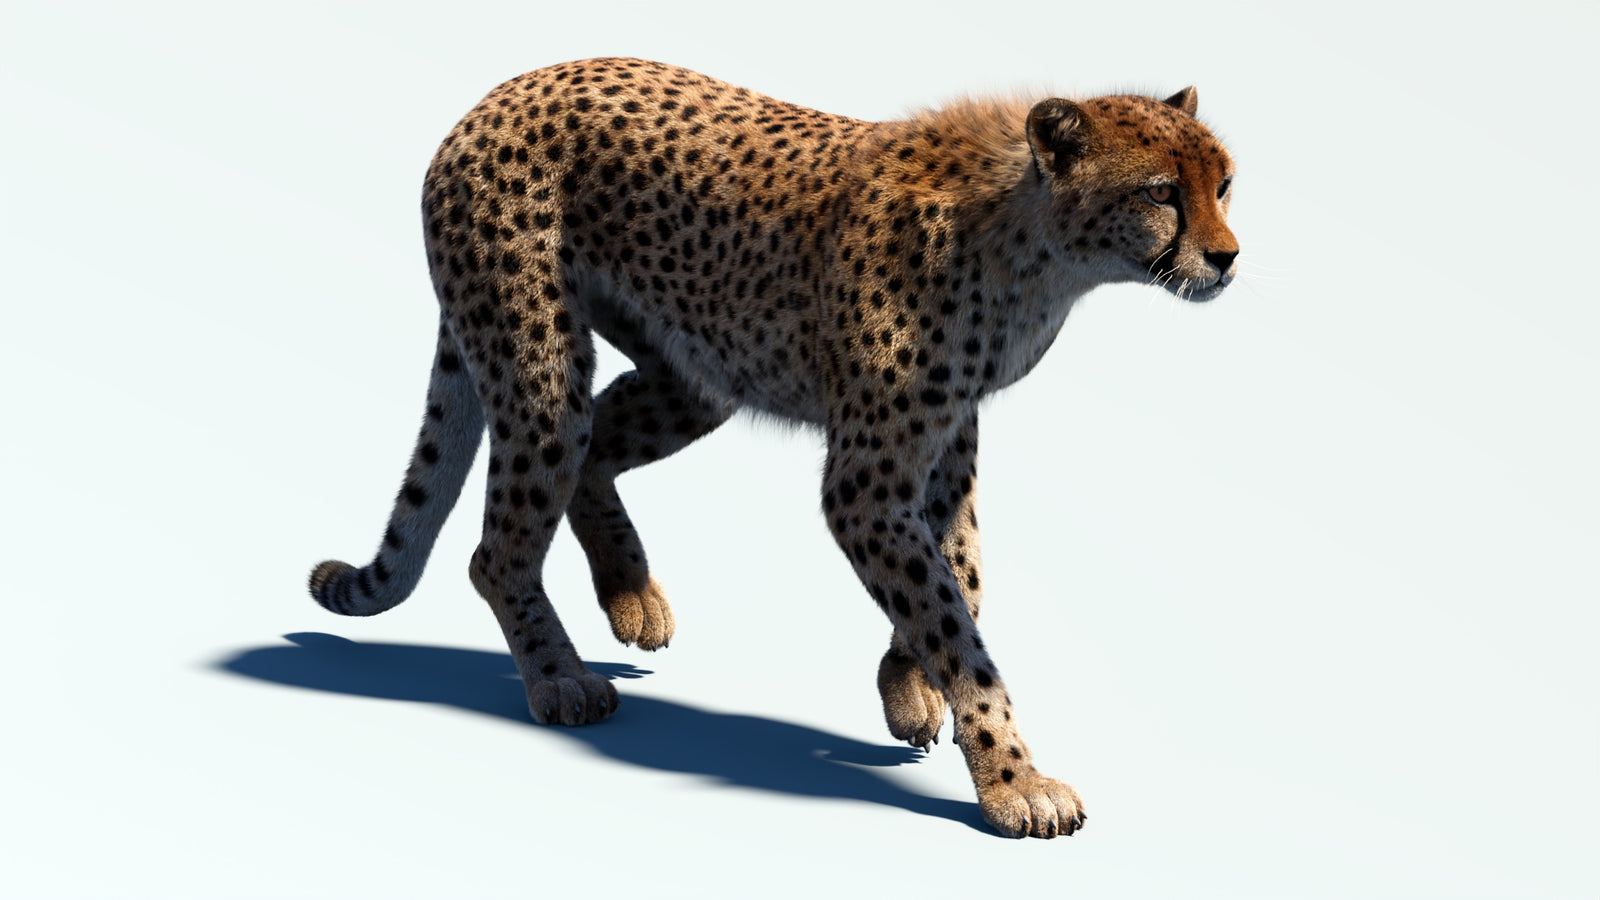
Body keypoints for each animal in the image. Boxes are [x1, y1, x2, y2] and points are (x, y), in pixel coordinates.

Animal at [308, 57, 1239, 839]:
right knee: (500, 546)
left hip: (700, 371)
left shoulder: (945, 442)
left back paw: (630, 593)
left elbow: (960, 575)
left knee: (595, 452)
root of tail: (494, 96)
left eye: (1226, 184)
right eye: (1162, 191)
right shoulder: (867, 481)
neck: (1036, 245)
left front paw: (907, 688)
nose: (1227, 257)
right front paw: (1013, 780)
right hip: (540, 365)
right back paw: (560, 678)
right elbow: (951, 617)